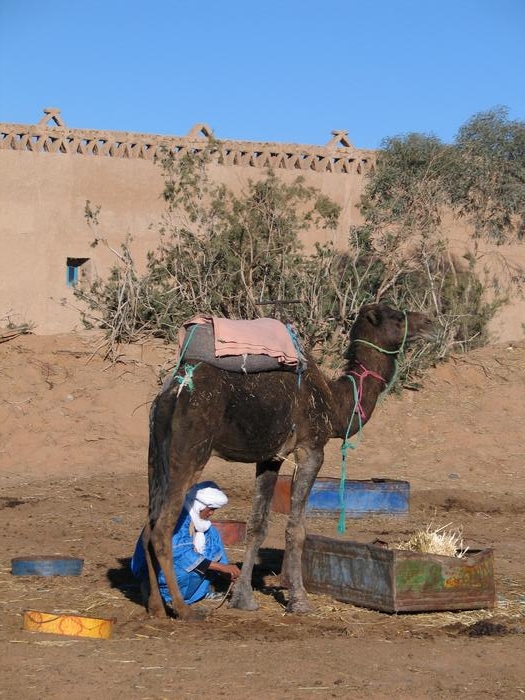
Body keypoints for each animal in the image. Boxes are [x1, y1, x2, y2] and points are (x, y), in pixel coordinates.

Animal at [141, 300, 432, 616]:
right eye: (396, 317)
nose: (429, 323)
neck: (333, 403)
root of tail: (174, 391)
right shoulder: (311, 449)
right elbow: (296, 528)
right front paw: (299, 601)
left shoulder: (271, 457)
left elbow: (257, 526)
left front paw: (243, 598)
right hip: (191, 448)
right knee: (163, 527)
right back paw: (185, 611)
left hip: (156, 449)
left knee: (148, 526)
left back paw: (156, 607)